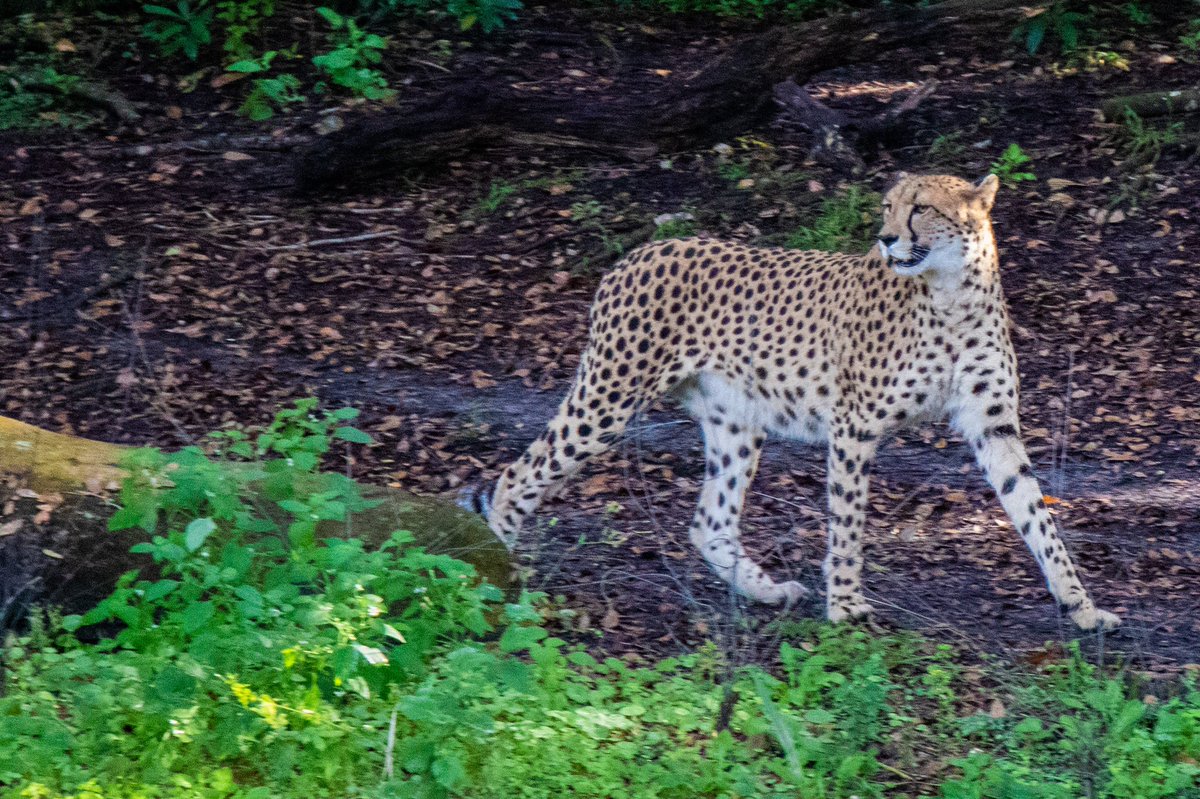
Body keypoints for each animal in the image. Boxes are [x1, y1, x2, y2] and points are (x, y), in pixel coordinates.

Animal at [484, 173, 1120, 632]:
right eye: (888, 207)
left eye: (920, 209)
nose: (886, 238)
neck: (952, 294)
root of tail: (637, 253)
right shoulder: (855, 426)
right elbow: (847, 520)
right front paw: (845, 607)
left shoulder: (993, 427)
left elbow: (1036, 515)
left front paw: (1081, 606)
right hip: (609, 397)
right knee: (518, 473)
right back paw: (497, 570)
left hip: (736, 421)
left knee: (709, 521)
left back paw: (766, 591)